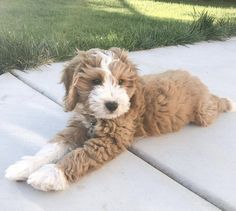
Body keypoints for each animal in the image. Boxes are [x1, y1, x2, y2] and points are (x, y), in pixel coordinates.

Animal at [4, 47, 235, 191]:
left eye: (122, 82)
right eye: (95, 81)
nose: (112, 105)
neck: (96, 117)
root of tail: (197, 80)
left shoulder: (111, 138)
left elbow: (80, 154)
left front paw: (51, 174)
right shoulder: (77, 126)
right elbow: (53, 146)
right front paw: (25, 166)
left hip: (203, 112)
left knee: (214, 105)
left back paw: (227, 101)